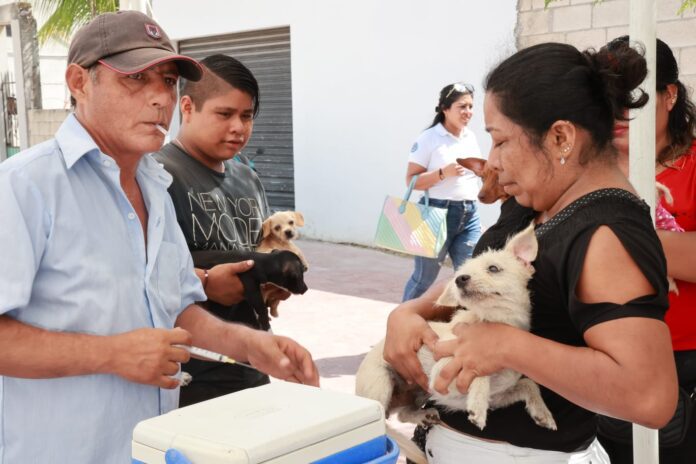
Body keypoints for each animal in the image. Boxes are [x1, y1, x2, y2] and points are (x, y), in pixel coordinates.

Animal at [356, 223, 556, 462]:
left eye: (493, 268)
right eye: (460, 274)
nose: (460, 279)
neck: (490, 323)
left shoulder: (498, 396)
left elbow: (529, 383)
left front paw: (542, 413)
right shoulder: (442, 374)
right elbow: (479, 372)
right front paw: (477, 406)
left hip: (418, 392)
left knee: (402, 415)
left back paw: (423, 415)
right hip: (381, 383)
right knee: (383, 425)